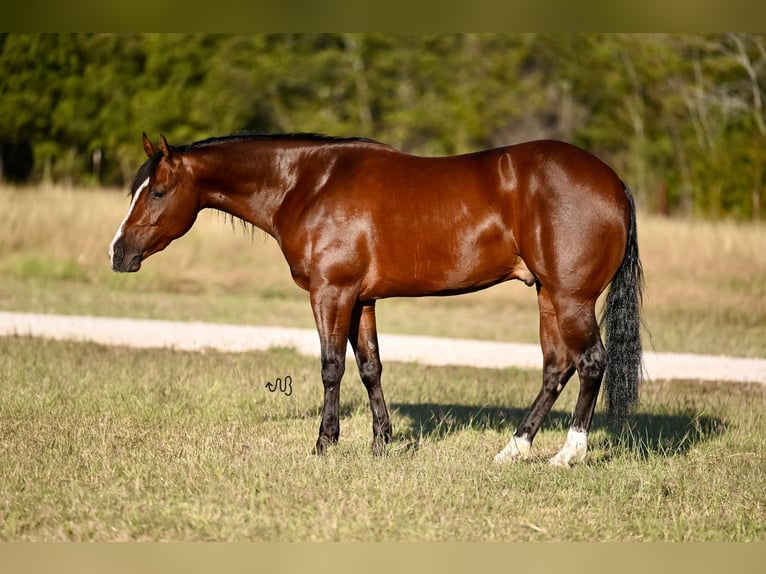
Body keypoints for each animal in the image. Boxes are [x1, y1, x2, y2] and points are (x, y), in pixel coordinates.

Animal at [111, 134, 644, 468]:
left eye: (158, 192)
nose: (118, 253)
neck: (307, 183)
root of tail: (615, 182)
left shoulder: (331, 293)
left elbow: (331, 367)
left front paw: (324, 444)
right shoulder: (361, 300)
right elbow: (370, 367)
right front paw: (381, 442)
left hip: (571, 298)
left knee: (590, 362)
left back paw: (567, 454)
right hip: (548, 296)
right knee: (556, 367)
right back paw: (513, 449)